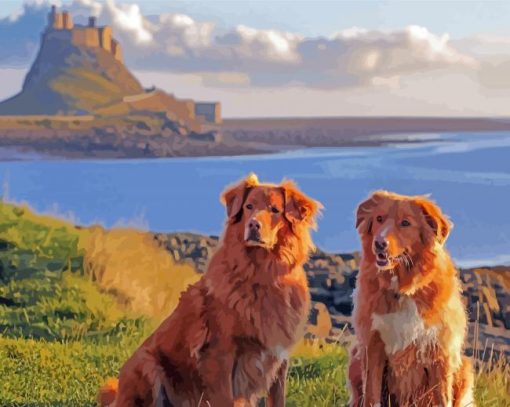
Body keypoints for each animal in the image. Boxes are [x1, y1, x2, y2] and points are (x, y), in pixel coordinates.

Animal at [99, 174, 320, 406]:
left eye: (275, 210)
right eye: (249, 206)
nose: (253, 224)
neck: (262, 274)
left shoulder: (279, 355)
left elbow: (277, 399)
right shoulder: (220, 354)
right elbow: (224, 398)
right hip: (147, 364)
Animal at [346, 191, 474, 407]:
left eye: (405, 223)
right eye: (379, 218)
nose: (379, 243)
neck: (404, 289)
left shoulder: (439, 351)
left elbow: (443, 398)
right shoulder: (372, 345)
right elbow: (371, 396)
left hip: (464, 366)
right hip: (356, 357)